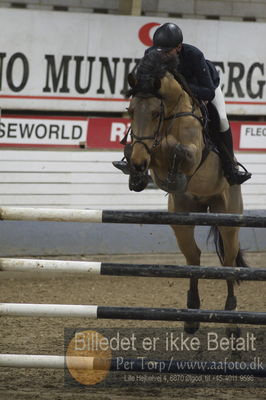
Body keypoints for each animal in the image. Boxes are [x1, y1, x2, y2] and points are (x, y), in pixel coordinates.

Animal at [123, 50, 248, 334]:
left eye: (155, 113)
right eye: (131, 111)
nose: (138, 164)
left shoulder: (192, 154)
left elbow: (178, 150)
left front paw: (172, 171)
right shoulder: (151, 156)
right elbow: (151, 151)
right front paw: (136, 172)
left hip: (228, 220)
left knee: (228, 264)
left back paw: (232, 321)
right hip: (181, 220)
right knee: (194, 258)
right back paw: (191, 316)